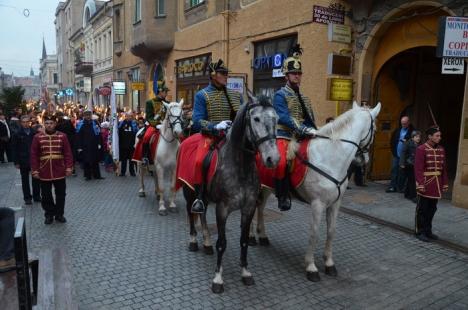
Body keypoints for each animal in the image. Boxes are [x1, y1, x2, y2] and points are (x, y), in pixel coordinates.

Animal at [182, 94, 278, 294]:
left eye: (277, 119)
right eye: (256, 118)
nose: (273, 158)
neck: (240, 166)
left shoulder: (248, 208)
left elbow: (244, 240)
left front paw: (246, 272)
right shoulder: (223, 209)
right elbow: (222, 243)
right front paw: (218, 279)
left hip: (204, 197)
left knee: (202, 214)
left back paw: (207, 243)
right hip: (188, 191)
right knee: (191, 213)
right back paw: (194, 241)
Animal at [252, 102, 380, 284]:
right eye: (374, 129)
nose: (363, 160)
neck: (331, 157)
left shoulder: (335, 203)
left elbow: (331, 231)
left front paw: (329, 263)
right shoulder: (317, 204)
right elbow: (314, 233)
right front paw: (311, 267)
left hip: (267, 187)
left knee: (261, 208)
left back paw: (262, 236)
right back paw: (250, 238)